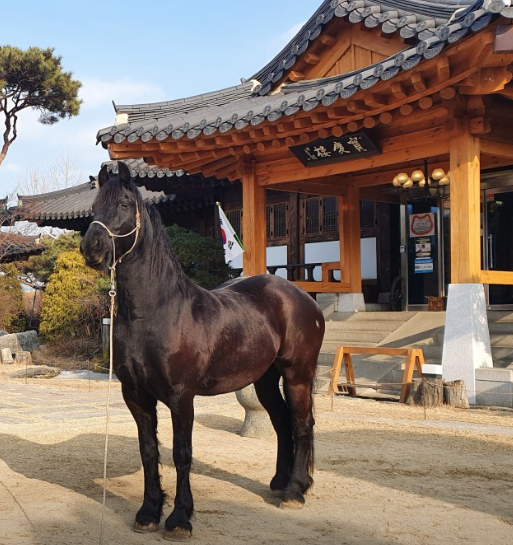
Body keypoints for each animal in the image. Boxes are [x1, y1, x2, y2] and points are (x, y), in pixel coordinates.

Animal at [80, 161, 325, 540]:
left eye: (123, 204)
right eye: (93, 207)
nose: (90, 247)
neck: (154, 312)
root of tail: (300, 296)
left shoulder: (181, 396)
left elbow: (182, 454)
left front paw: (180, 517)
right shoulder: (135, 395)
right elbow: (148, 452)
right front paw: (149, 511)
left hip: (297, 374)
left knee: (301, 424)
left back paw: (295, 491)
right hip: (264, 380)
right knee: (282, 422)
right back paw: (279, 483)